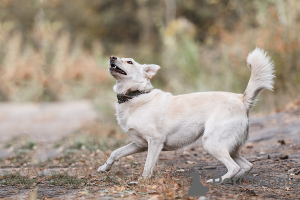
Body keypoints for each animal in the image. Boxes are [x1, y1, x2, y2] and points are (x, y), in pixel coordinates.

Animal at [98, 47, 274, 182]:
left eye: (130, 62)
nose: (112, 57)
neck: (134, 95)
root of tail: (242, 99)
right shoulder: (139, 144)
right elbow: (115, 153)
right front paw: (103, 168)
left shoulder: (155, 142)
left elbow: (148, 166)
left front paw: (142, 181)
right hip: (230, 147)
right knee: (247, 165)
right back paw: (233, 179)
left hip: (211, 143)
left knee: (234, 167)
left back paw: (219, 180)